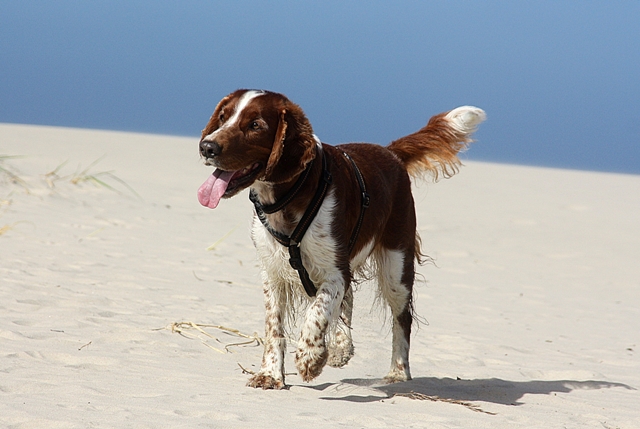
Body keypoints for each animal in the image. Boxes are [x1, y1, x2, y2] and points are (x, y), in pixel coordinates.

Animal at [196, 89, 484, 388]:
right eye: (223, 116)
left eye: (255, 125)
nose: (207, 147)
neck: (289, 195)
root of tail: (390, 153)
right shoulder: (272, 272)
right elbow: (274, 326)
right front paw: (270, 374)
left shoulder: (334, 271)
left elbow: (318, 310)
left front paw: (310, 356)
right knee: (349, 300)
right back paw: (341, 347)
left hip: (396, 266)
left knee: (401, 318)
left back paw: (398, 371)